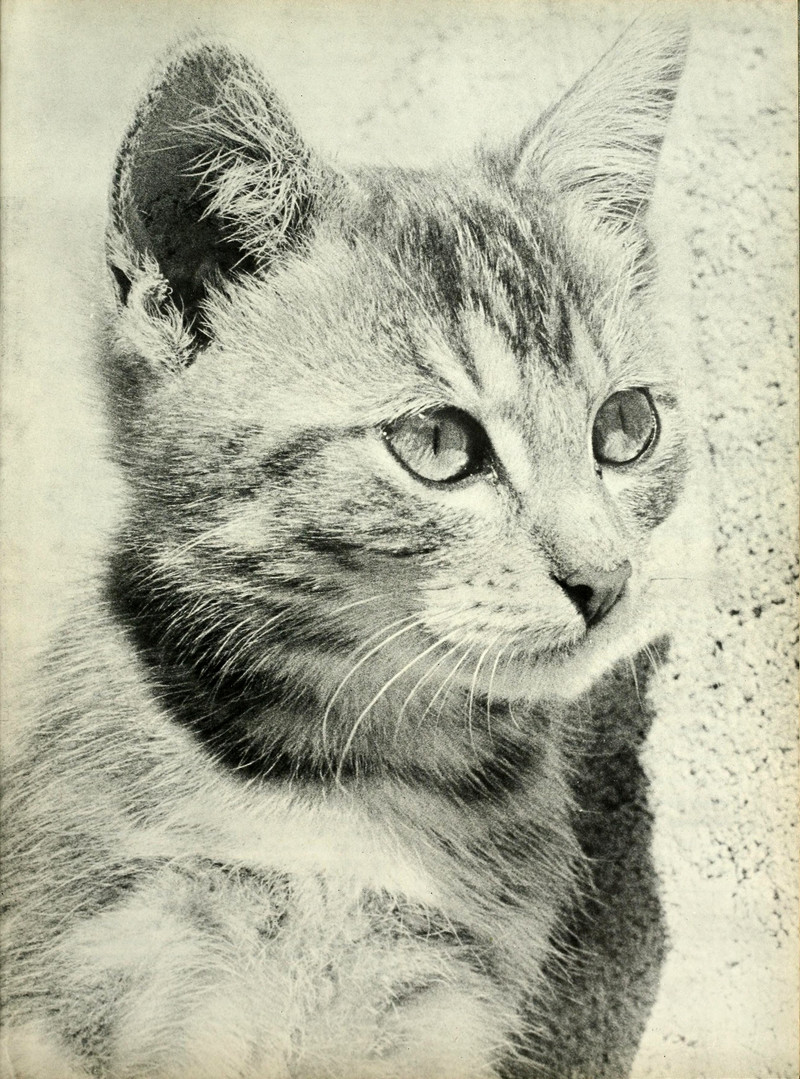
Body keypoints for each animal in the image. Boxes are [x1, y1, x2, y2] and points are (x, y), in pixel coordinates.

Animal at [1, 14, 690, 1079]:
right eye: (439, 443)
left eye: (626, 427)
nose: (604, 579)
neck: (360, 772)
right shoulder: (119, 965)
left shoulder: (447, 999)